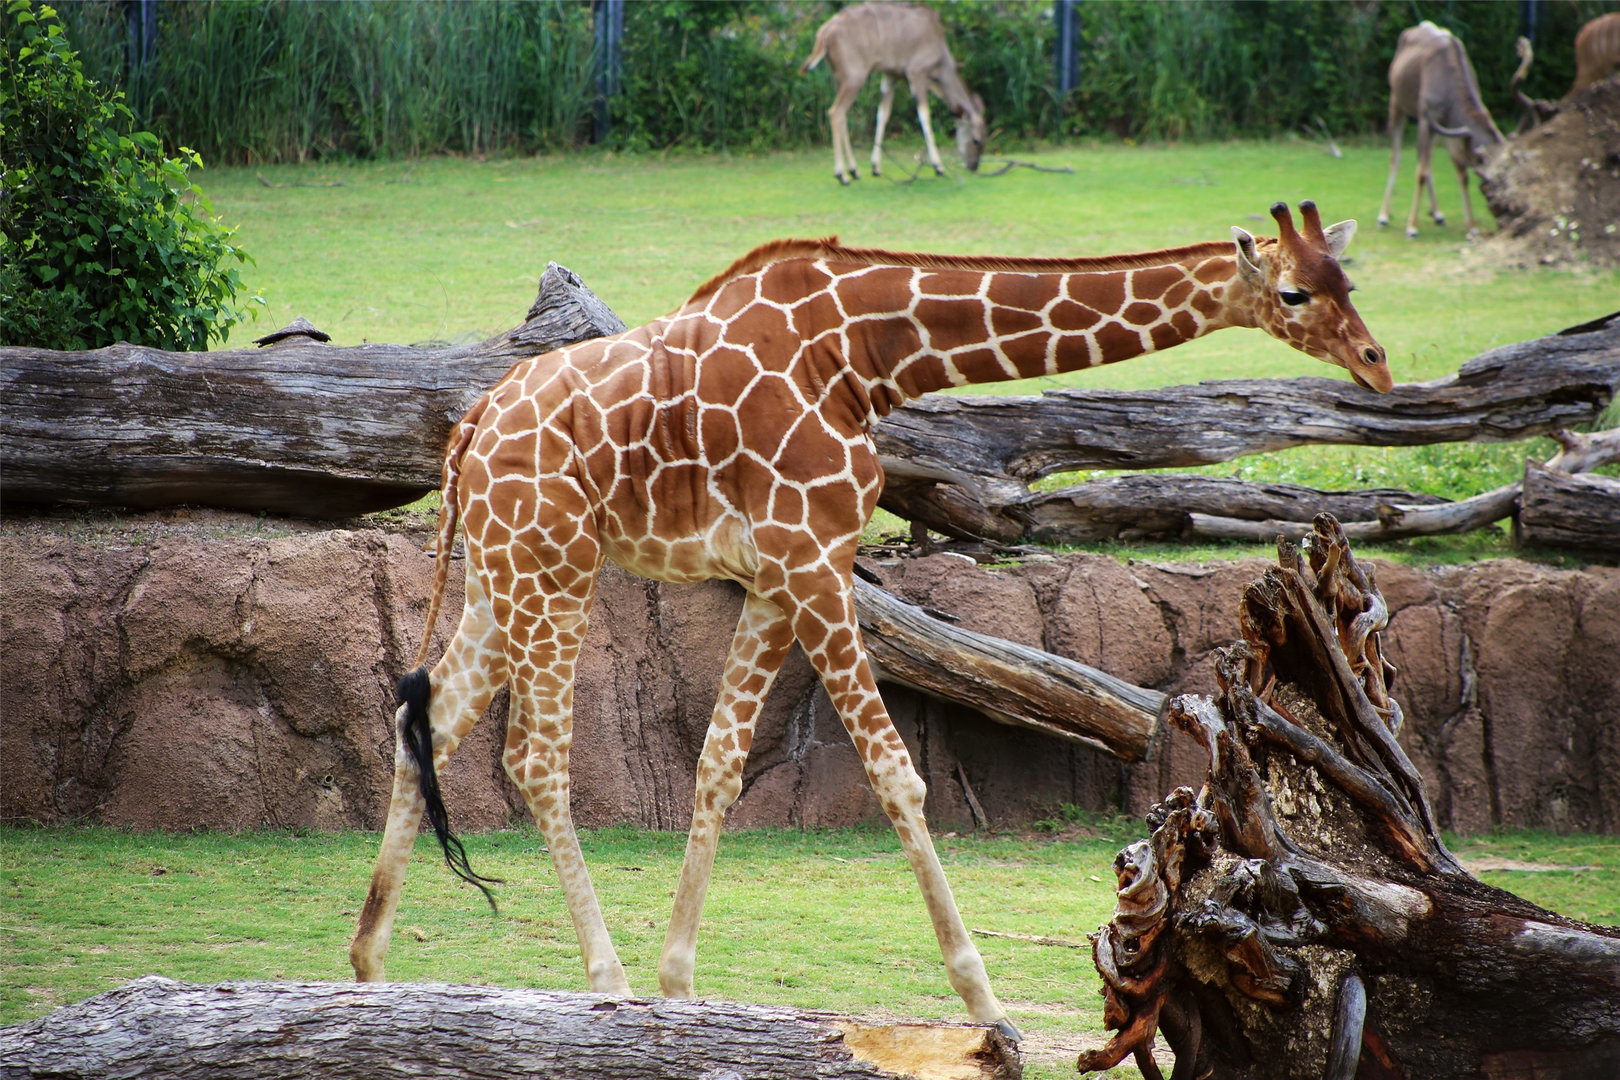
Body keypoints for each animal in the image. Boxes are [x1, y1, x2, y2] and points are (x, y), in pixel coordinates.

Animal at [348, 202, 1389, 1038]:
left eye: (1348, 279)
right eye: (1295, 292)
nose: (1376, 364)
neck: (866, 353)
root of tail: (466, 431)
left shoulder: (776, 574)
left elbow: (719, 765)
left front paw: (681, 983)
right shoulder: (814, 558)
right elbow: (897, 774)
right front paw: (987, 1004)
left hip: (502, 575)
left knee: (427, 719)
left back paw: (370, 971)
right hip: (554, 564)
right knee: (534, 757)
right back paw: (603, 980)